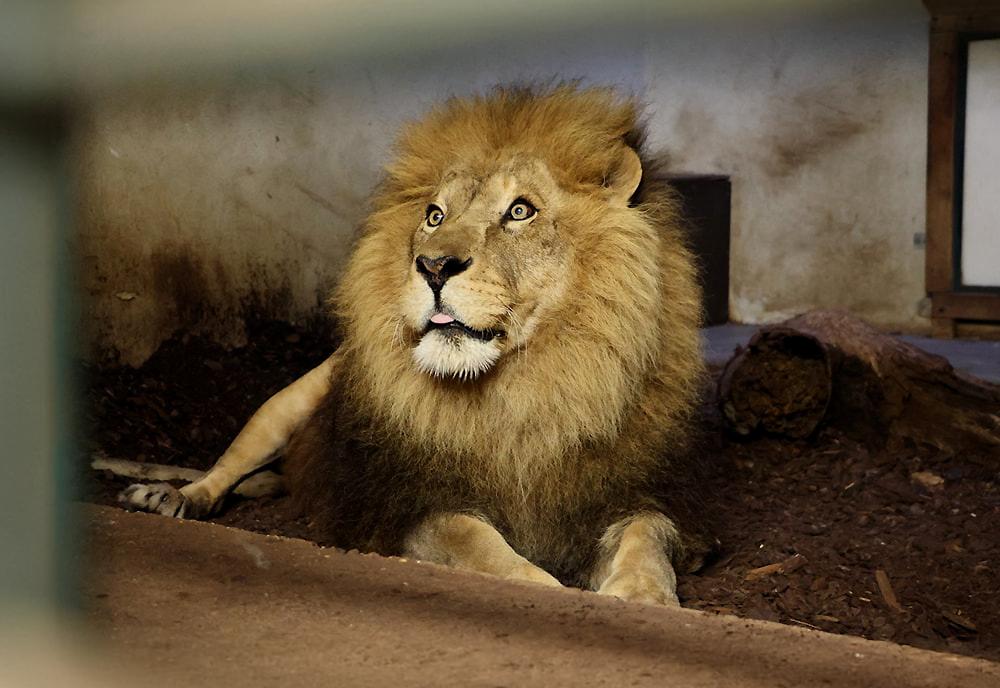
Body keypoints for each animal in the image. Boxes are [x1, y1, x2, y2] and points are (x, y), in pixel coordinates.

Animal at [117, 87, 708, 608]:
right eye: (434, 216)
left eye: (520, 211)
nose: (433, 265)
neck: (519, 392)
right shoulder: (405, 505)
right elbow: (474, 542)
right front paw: (547, 587)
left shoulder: (633, 494)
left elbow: (647, 539)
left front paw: (644, 598)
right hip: (287, 404)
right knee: (225, 468)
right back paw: (171, 497)